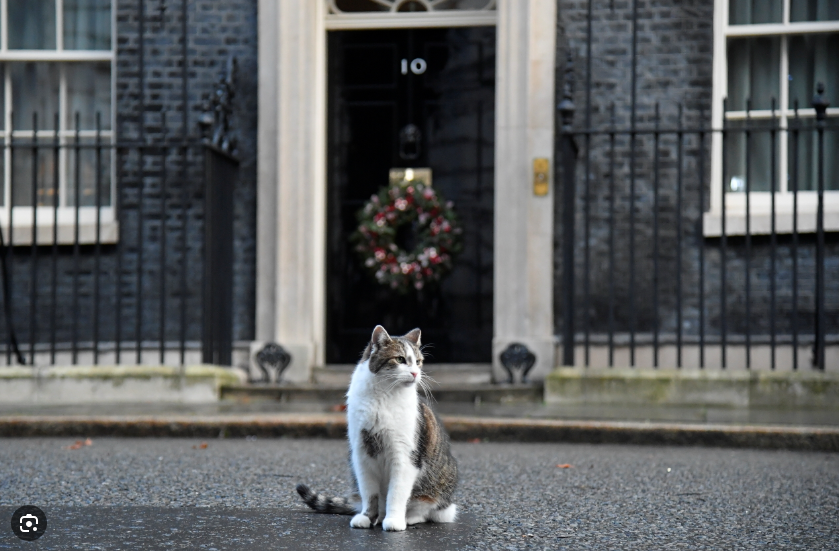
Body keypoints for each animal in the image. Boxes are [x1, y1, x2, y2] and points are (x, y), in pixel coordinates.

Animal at [296, 326, 460, 532]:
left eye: (418, 362)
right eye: (400, 359)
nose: (415, 373)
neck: (383, 395)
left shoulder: (404, 456)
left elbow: (396, 493)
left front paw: (394, 520)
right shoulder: (361, 454)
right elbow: (370, 493)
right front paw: (367, 517)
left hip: (436, 489)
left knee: (429, 511)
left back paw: (409, 518)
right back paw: (380, 516)